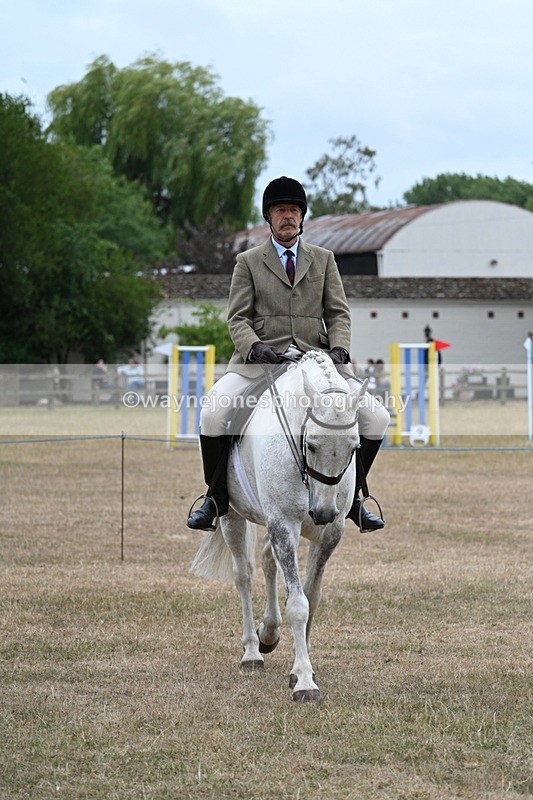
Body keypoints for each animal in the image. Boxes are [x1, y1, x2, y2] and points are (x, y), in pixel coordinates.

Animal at [190, 351, 368, 702]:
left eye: (355, 447)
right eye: (311, 445)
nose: (322, 512)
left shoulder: (329, 535)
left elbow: (310, 598)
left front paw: (301, 667)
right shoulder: (284, 524)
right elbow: (297, 605)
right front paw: (305, 682)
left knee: (267, 562)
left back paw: (269, 633)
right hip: (233, 515)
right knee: (244, 575)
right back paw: (251, 652)